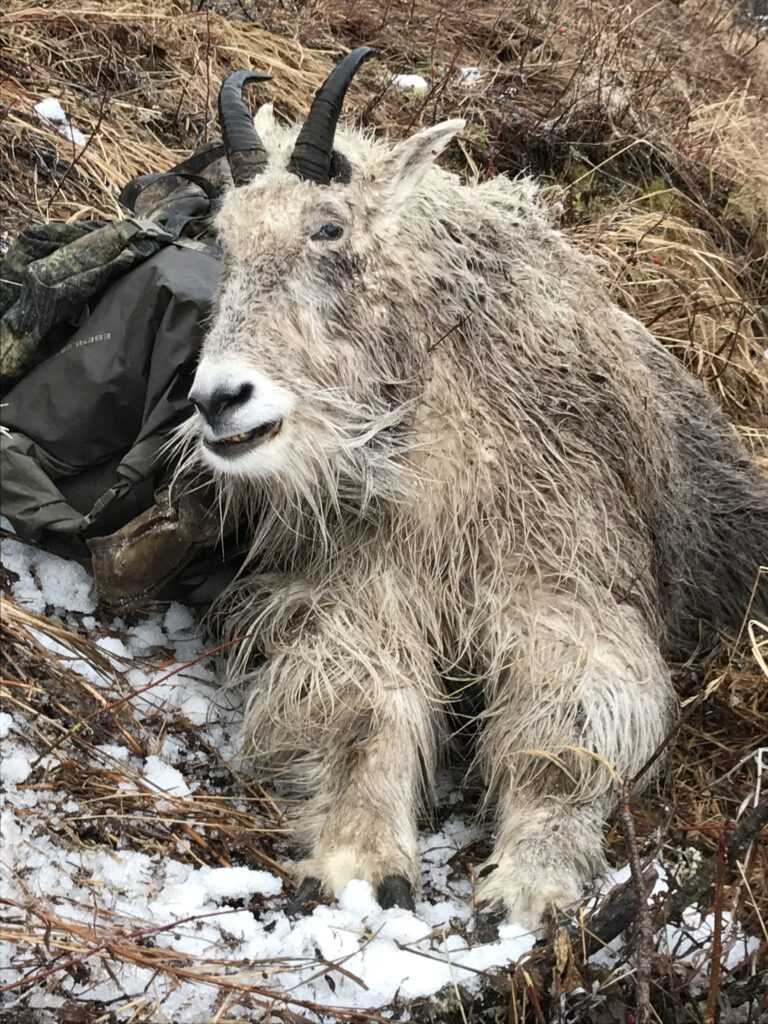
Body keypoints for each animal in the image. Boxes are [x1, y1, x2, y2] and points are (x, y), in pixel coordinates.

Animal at [177, 49, 768, 927]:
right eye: (225, 238)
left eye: (329, 227)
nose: (220, 400)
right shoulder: (365, 586)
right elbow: (361, 707)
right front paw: (359, 859)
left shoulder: (566, 584)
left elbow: (568, 735)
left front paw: (529, 881)